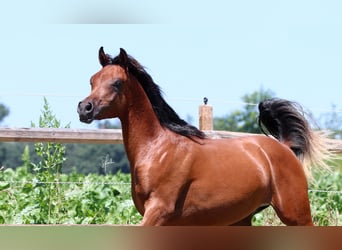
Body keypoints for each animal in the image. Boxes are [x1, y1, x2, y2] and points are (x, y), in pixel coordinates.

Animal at [77, 47, 332, 227]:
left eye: (117, 83)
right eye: (92, 80)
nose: (84, 108)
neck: (156, 150)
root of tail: (284, 148)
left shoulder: (159, 211)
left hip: (295, 213)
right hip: (240, 219)